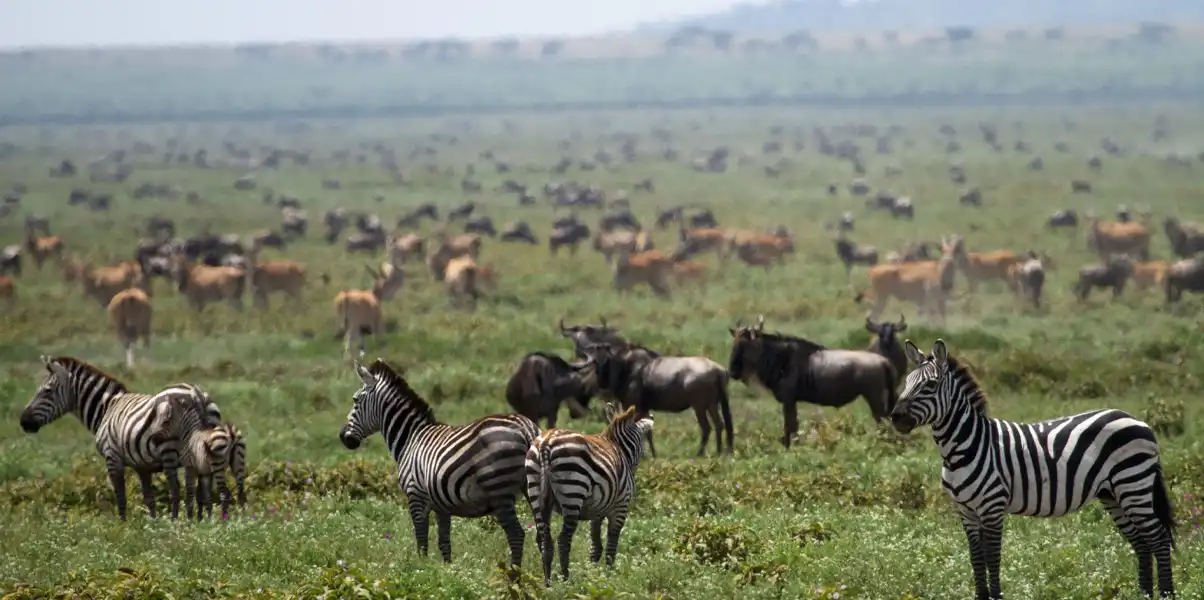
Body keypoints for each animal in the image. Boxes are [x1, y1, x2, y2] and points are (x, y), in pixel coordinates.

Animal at [18, 356, 221, 520]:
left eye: (47, 391)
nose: (23, 421)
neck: (107, 407)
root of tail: (196, 394)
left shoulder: (112, 457)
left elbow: (120, 495)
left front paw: (122, 526)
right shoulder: (142, 465)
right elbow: (148, 497)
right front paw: (153, 523)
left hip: (168, 450)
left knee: (176, 488)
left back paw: (176, 521)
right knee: (205, 487)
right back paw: (202, 520)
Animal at [341, 359, 544, 568]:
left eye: (355, 400)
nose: (343, 438)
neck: (411, 438)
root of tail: (526, 428)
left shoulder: (415, 495)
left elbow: (421, 540)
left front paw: (420, 569)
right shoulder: (441, 506)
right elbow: (444, 542)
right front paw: (447, 571)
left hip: (499, 489)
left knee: (516, 534)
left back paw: (514, 573)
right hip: (531, 488)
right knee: (543, 535)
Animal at [529, 402, 659, 585]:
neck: (619, 448)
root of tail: (546, 443)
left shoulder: (598, 510)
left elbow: (596, 544)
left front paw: (593, 573)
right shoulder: (621, 505)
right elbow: (612, 542)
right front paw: (609, 575)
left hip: (534, 492)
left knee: (545, 540)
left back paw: (548, 583)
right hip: (573, 491)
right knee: (563, 540)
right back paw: (565, 580)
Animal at [895, 339, 1175, 597]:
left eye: (930, 386)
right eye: (906, 382)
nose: (895, 416)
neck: (964, 447)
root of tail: (1139, 421)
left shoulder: (993, 506)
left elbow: (992, 558)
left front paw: (996, 596)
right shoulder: (965, 511)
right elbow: (976, 559)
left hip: (1133, 485)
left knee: (1158, 539)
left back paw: (1166, 594)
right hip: (1113, 494)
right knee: (1142, 543)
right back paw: (1144, 594)